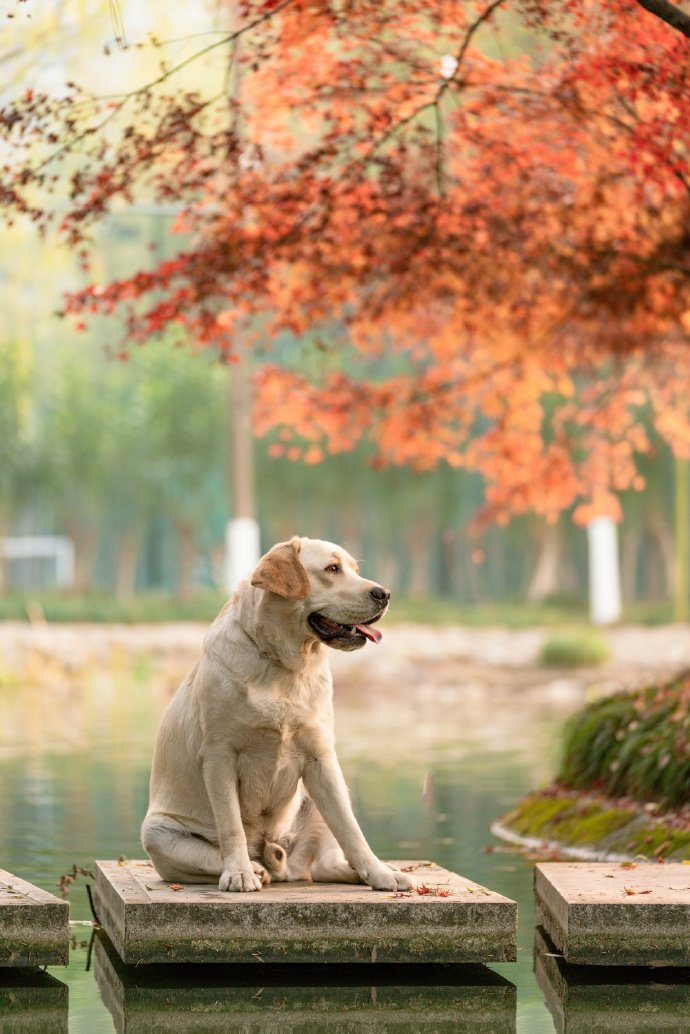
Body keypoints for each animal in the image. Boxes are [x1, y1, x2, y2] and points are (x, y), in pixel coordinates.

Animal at [141, 537, 415, 893]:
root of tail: (290, 870)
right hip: (157, 833)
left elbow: (351, 829)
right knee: (224, 854)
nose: (384, 593)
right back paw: (256, 868)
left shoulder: (321, 756)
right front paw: (239, 873)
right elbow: (231, 826)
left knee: (325, 862)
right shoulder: (219, 755)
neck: (284, 665)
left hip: (319, 795)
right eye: (332, 569)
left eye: (355, 569)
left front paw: (381, 874)